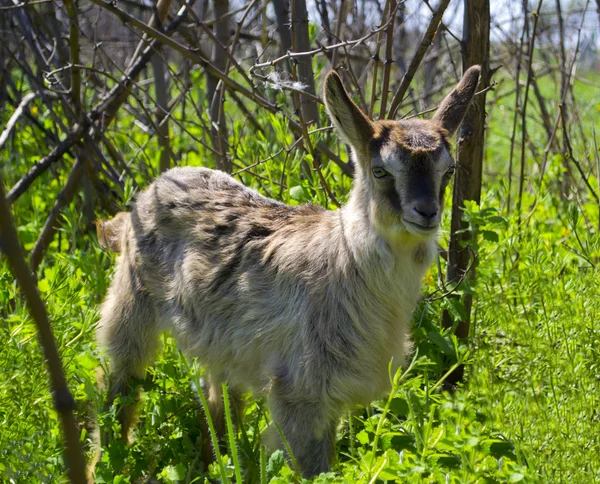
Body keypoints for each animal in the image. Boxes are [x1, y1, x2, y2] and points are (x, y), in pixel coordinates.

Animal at [98, 66, 482, 478]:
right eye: (380, 171)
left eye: (449, 170)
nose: (426, 212)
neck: (345, 265)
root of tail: (151, 189)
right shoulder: (300, 392)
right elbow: (313, 470)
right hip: (131, 301)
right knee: (119, 380)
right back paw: (108, 462)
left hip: (222, 344)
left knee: (216, 398)